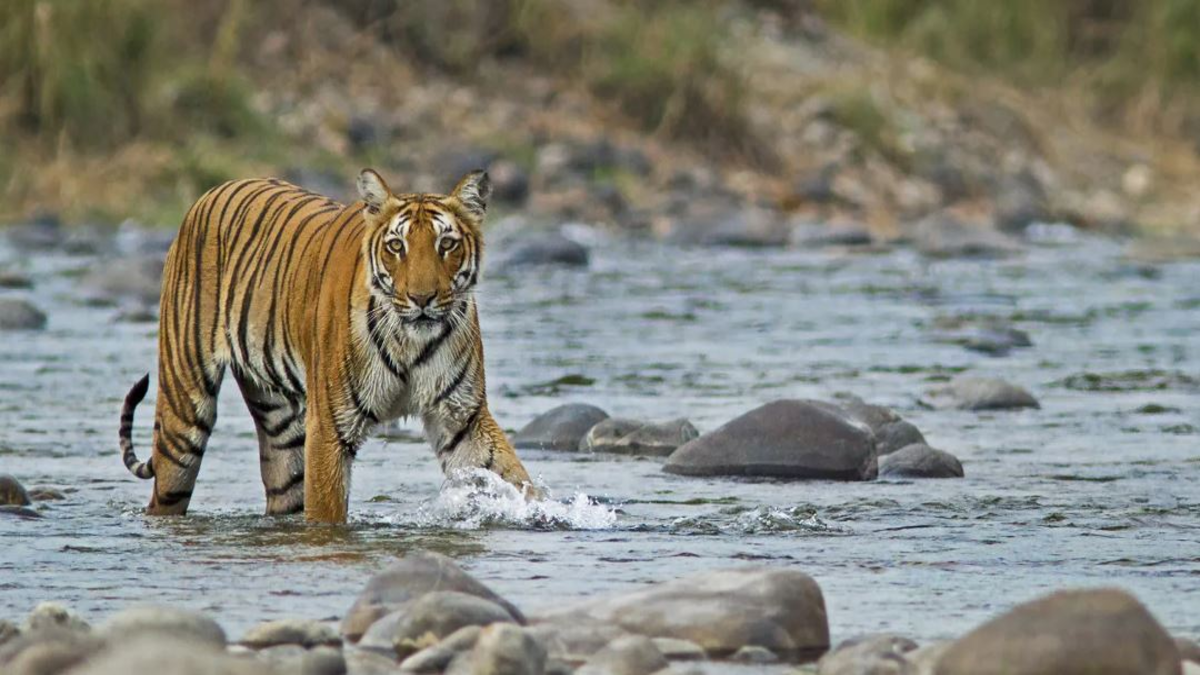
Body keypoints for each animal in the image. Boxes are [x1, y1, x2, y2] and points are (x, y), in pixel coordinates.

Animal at [118, 168, 538, 523]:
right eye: (396, 246)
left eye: (446, 244)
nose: (422, 299)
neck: (411, 341)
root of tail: (211, 192)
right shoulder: (329, 428)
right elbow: (326, 513)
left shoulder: (462, 416)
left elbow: (512, 475)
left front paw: (542, 514)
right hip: (184, 412)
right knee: (167, 489)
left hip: (281, 427)